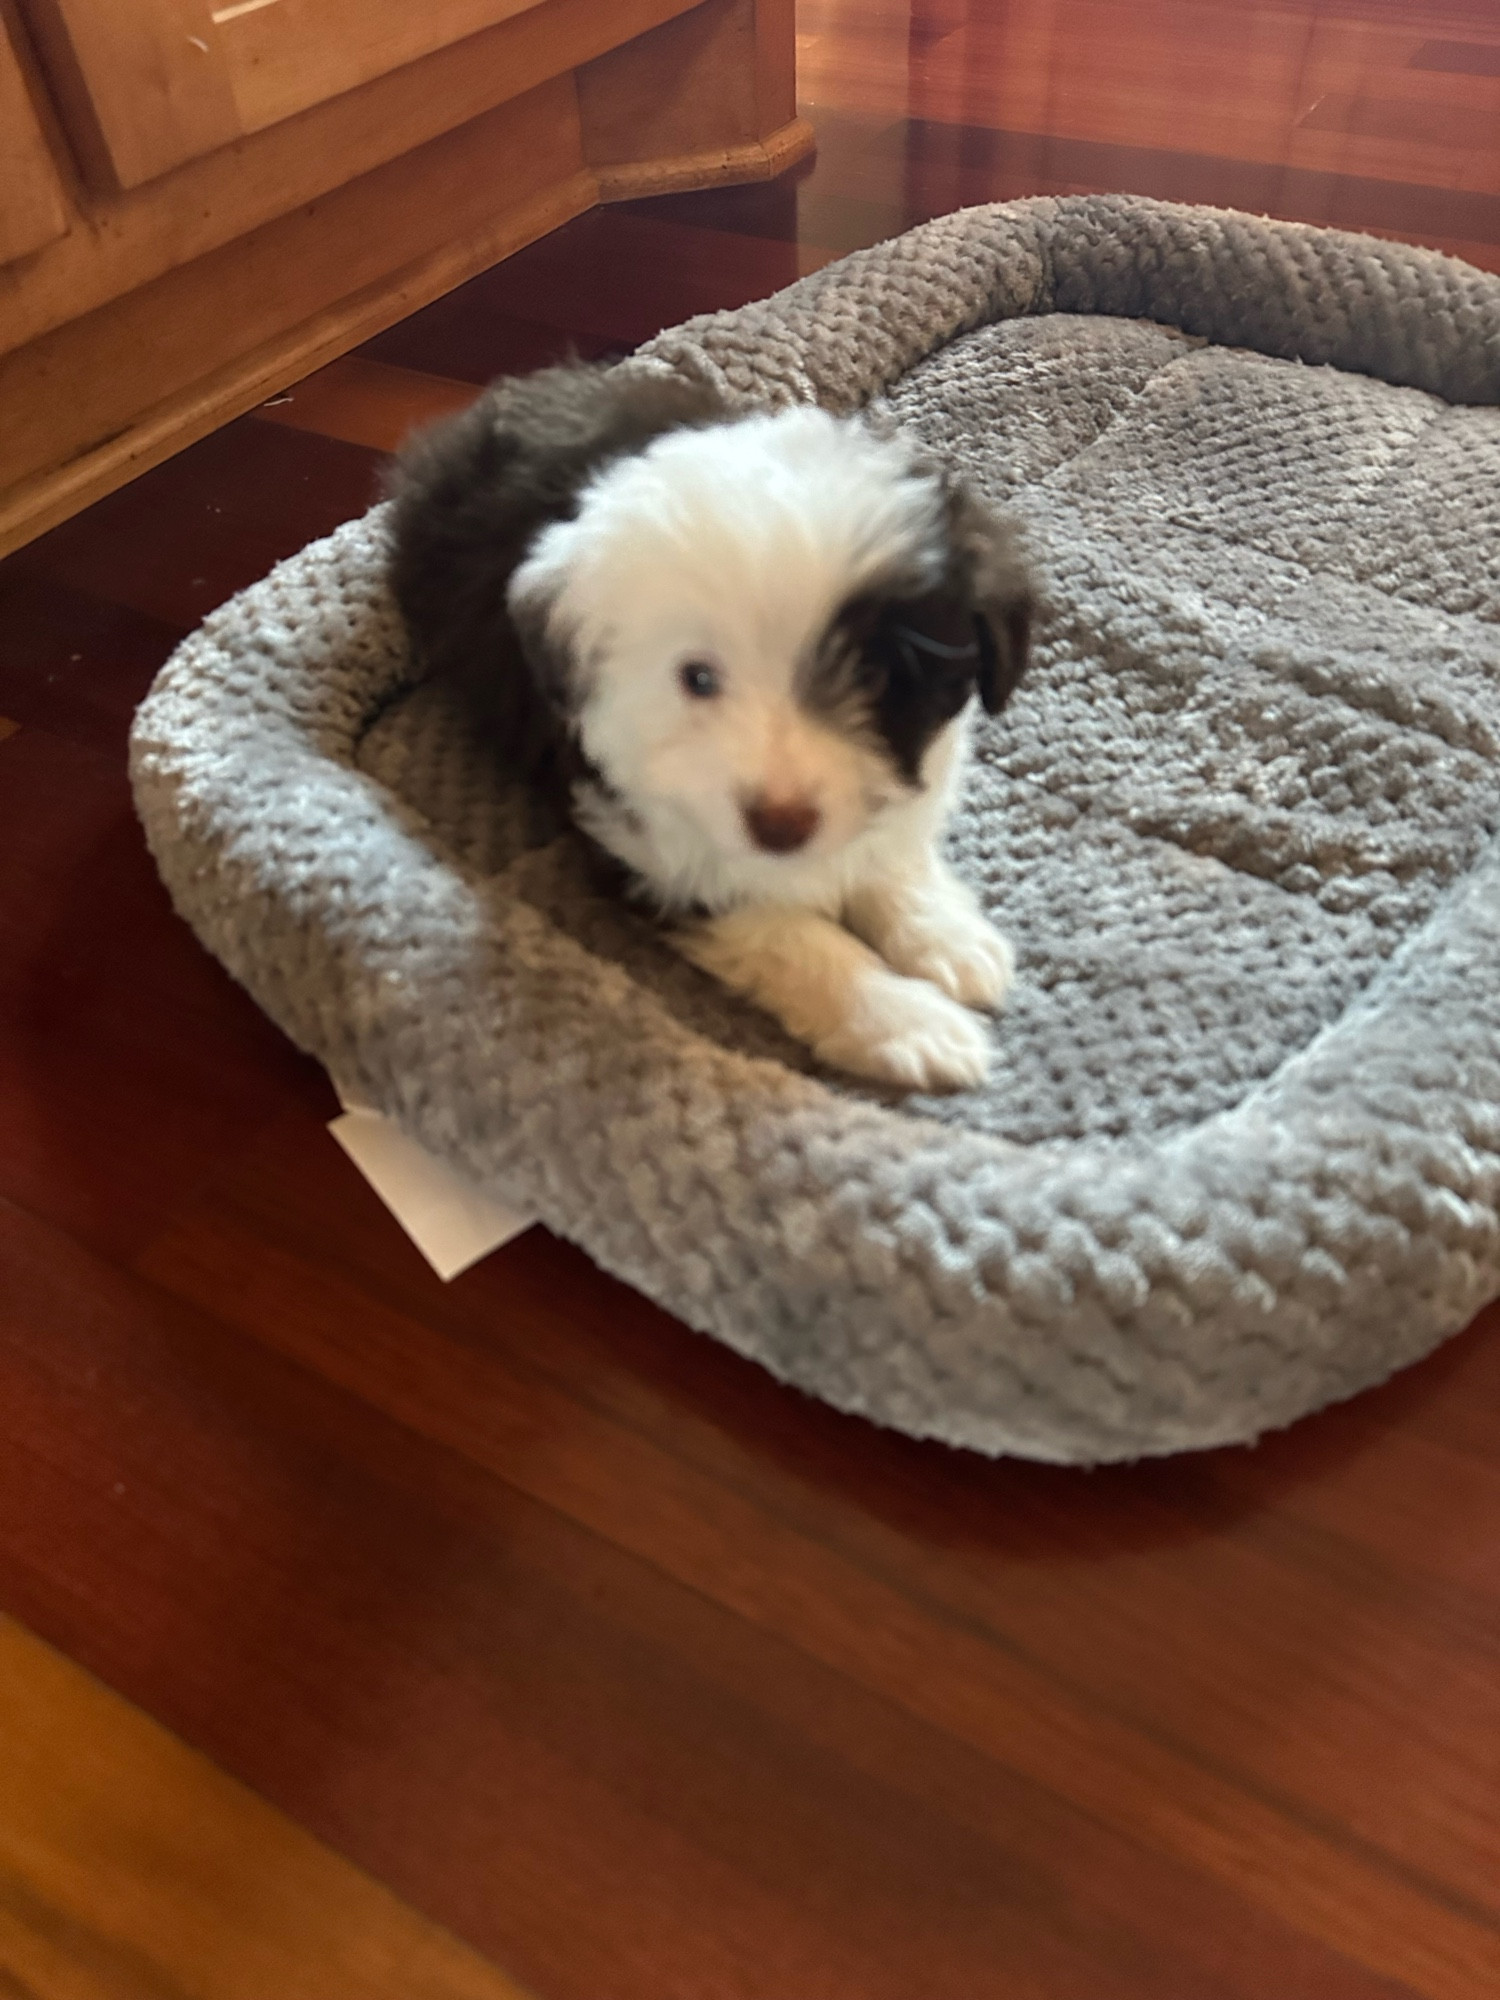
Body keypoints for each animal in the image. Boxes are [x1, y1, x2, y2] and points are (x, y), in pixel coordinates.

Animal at [388, 366, 1032, 1088]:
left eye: (874, 677)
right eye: (697, 678)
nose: (780, 826)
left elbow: (887, 852)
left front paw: (946, 937)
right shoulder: (645, 841)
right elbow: (786, 934)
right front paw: (908, 1023)